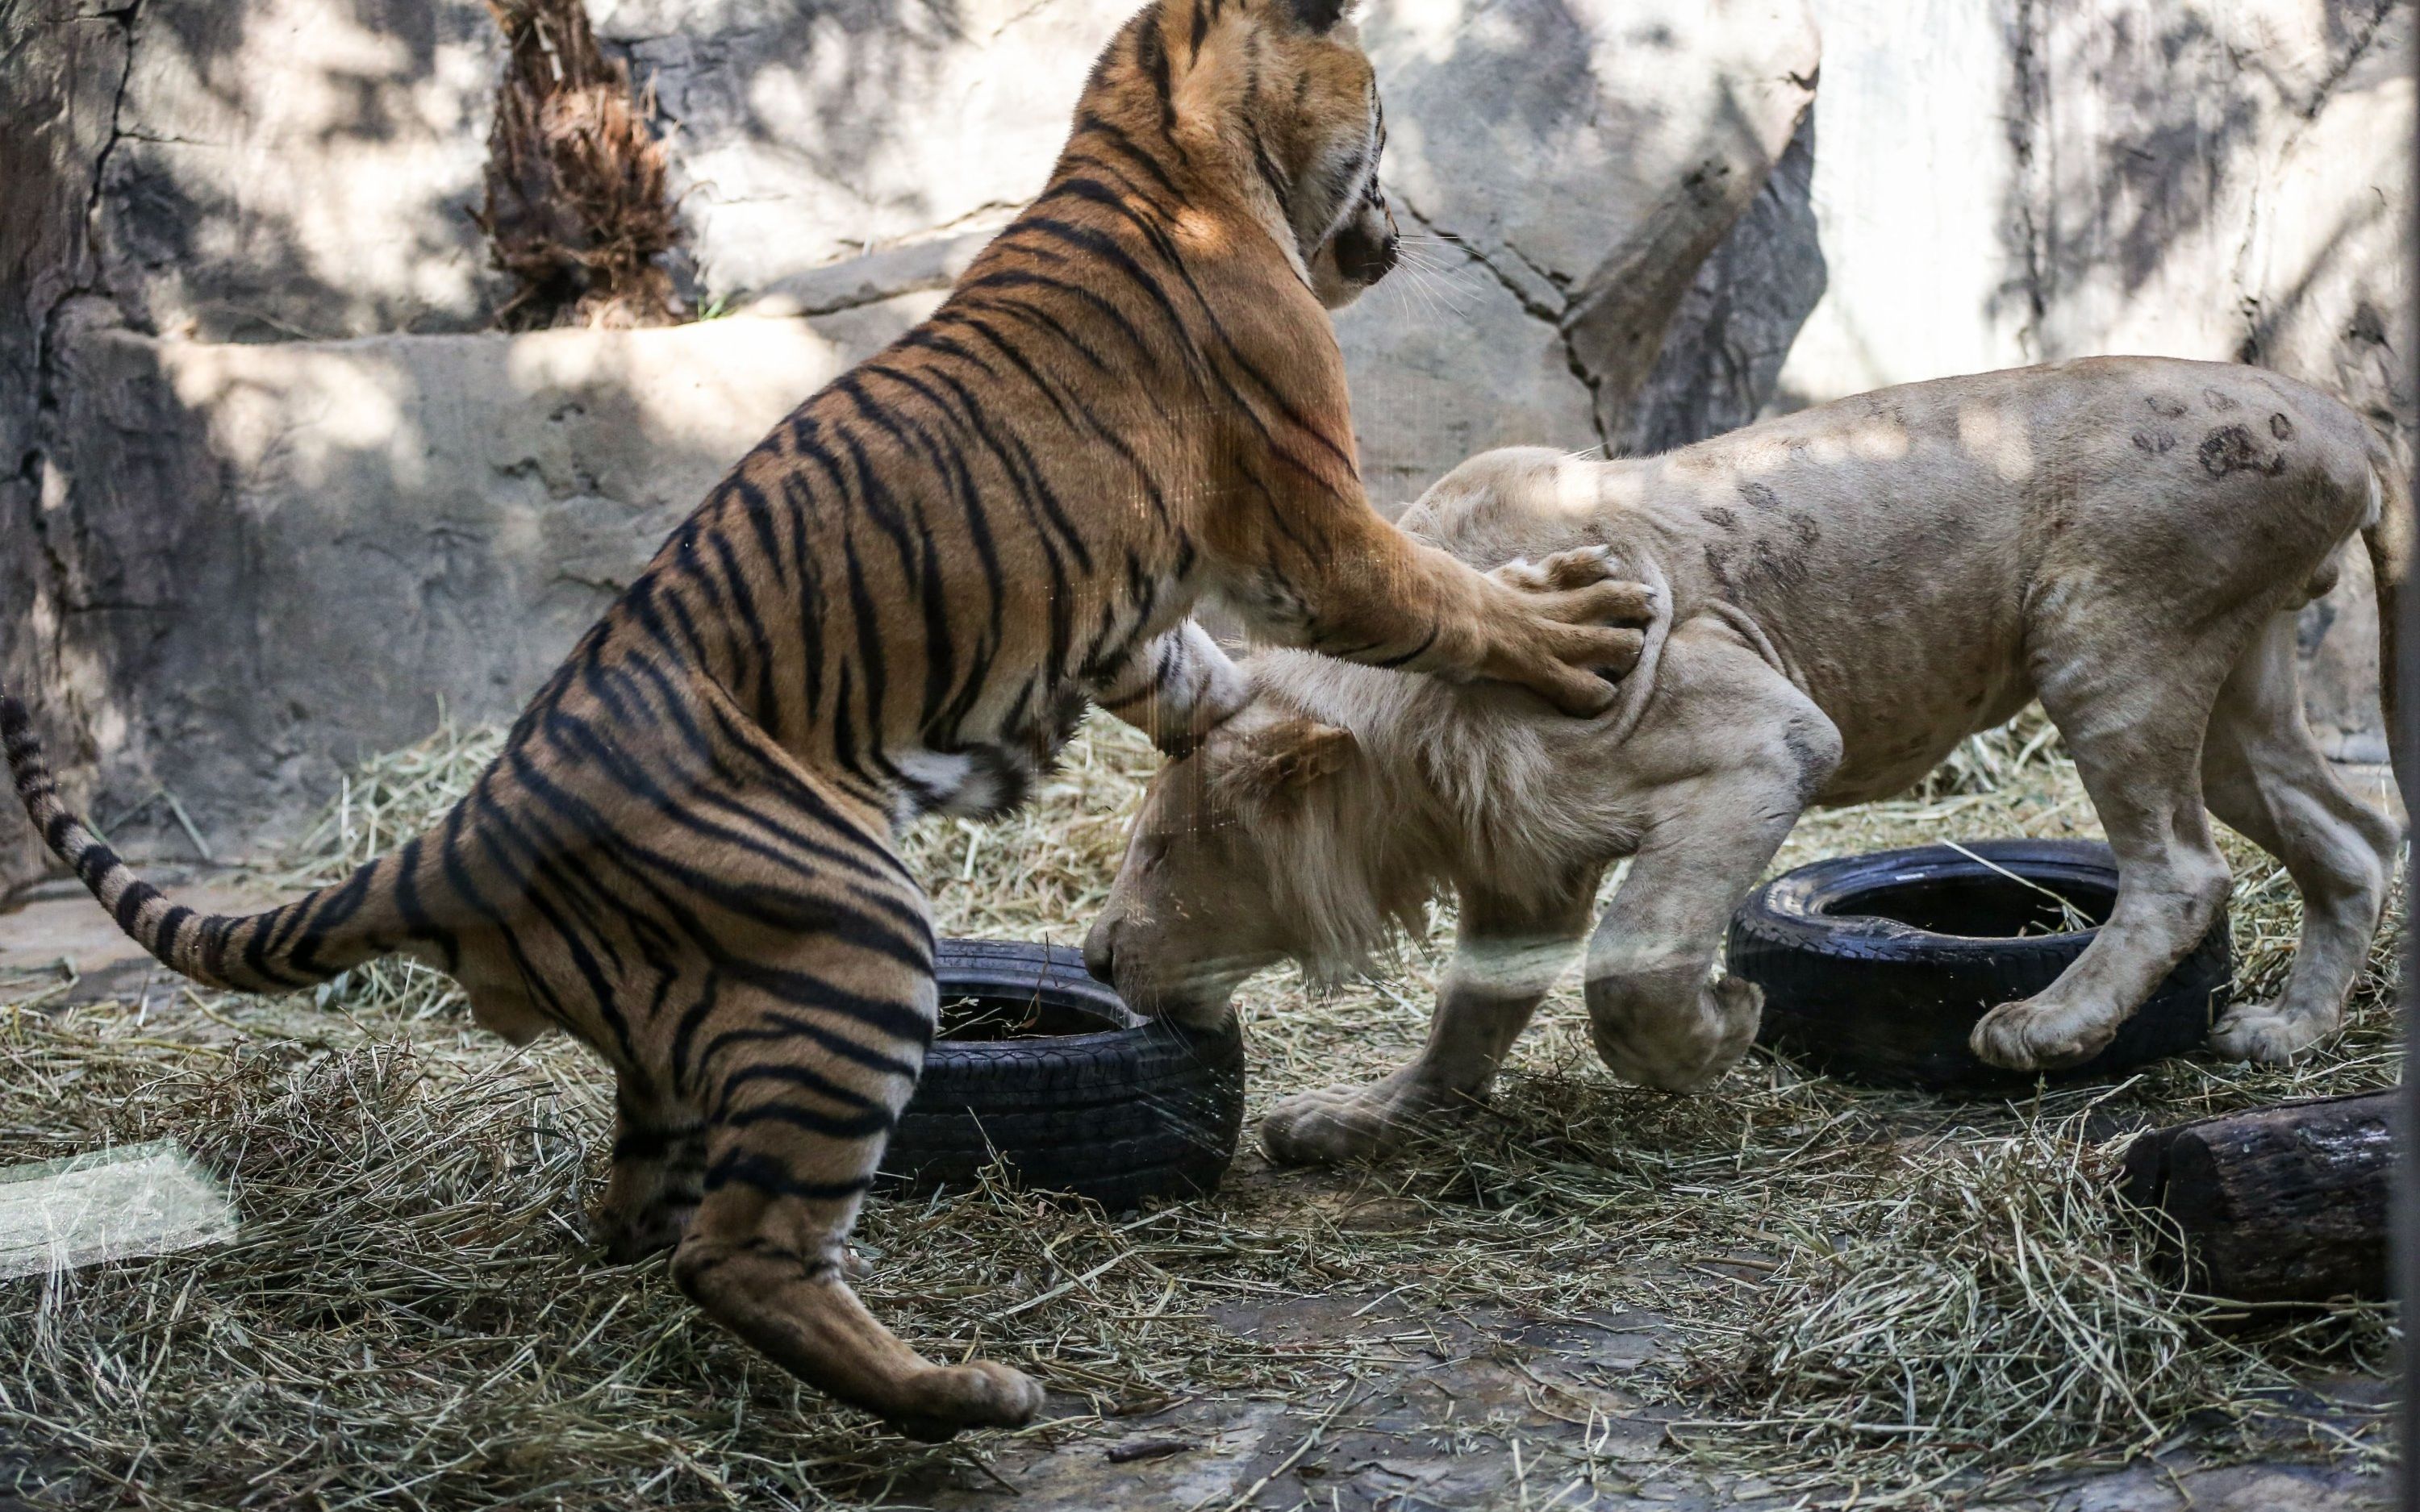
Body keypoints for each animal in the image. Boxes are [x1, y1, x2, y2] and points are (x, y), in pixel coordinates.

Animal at [0, 0, 1655, 1442]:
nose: (1398, 232)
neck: (1154, 141)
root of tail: (464, 824)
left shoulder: (1143, 609)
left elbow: (1200, 678)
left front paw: (1266, 736)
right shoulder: (1316, 524)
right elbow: (1446, 601)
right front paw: (1584, 629)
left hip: (679, 1046)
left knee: (638, 1216)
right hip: (856, 954)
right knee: (739, 1253)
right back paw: (961, 1399)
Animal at [1089, 356, 2410, 1166]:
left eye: (1158, 851)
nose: (1096, 956)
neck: (1413, 741)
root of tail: (2341, 413)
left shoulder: (1765, 742)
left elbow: (1632, 959)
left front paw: (1722, 1029)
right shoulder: (1521, 862)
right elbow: (1474, 1013)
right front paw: (1362, 1119)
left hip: (2111, 635)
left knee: (2186, 869)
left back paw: (2043, 1026)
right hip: (2231, 684)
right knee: (2353, 839)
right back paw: (2284, 1034)